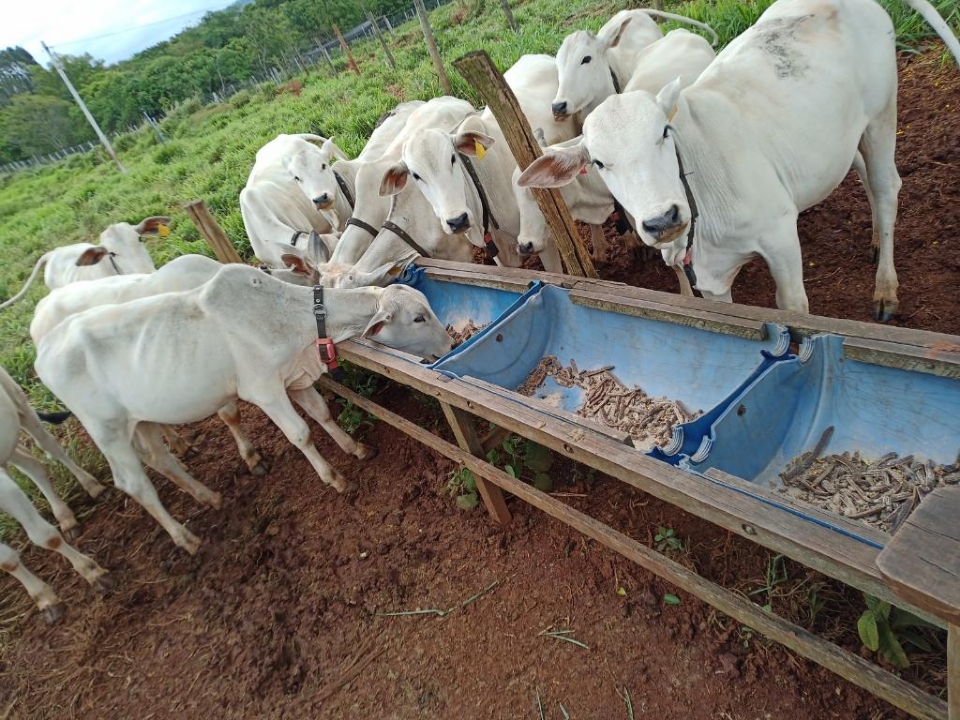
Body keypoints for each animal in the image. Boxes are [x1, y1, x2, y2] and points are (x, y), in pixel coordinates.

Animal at [37, 268, 454, 556]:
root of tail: (44, 351)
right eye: (418, 317)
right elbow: (301, 432)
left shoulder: (295, 378)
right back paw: (185, 537)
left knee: (160, 458)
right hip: (107, 430)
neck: (293, 319)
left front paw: (355, 448)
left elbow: (322, 413)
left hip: (142, 419)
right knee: (133, 483)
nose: (451, 343)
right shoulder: (264, 389)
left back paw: (209, 497)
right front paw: (335, 478)